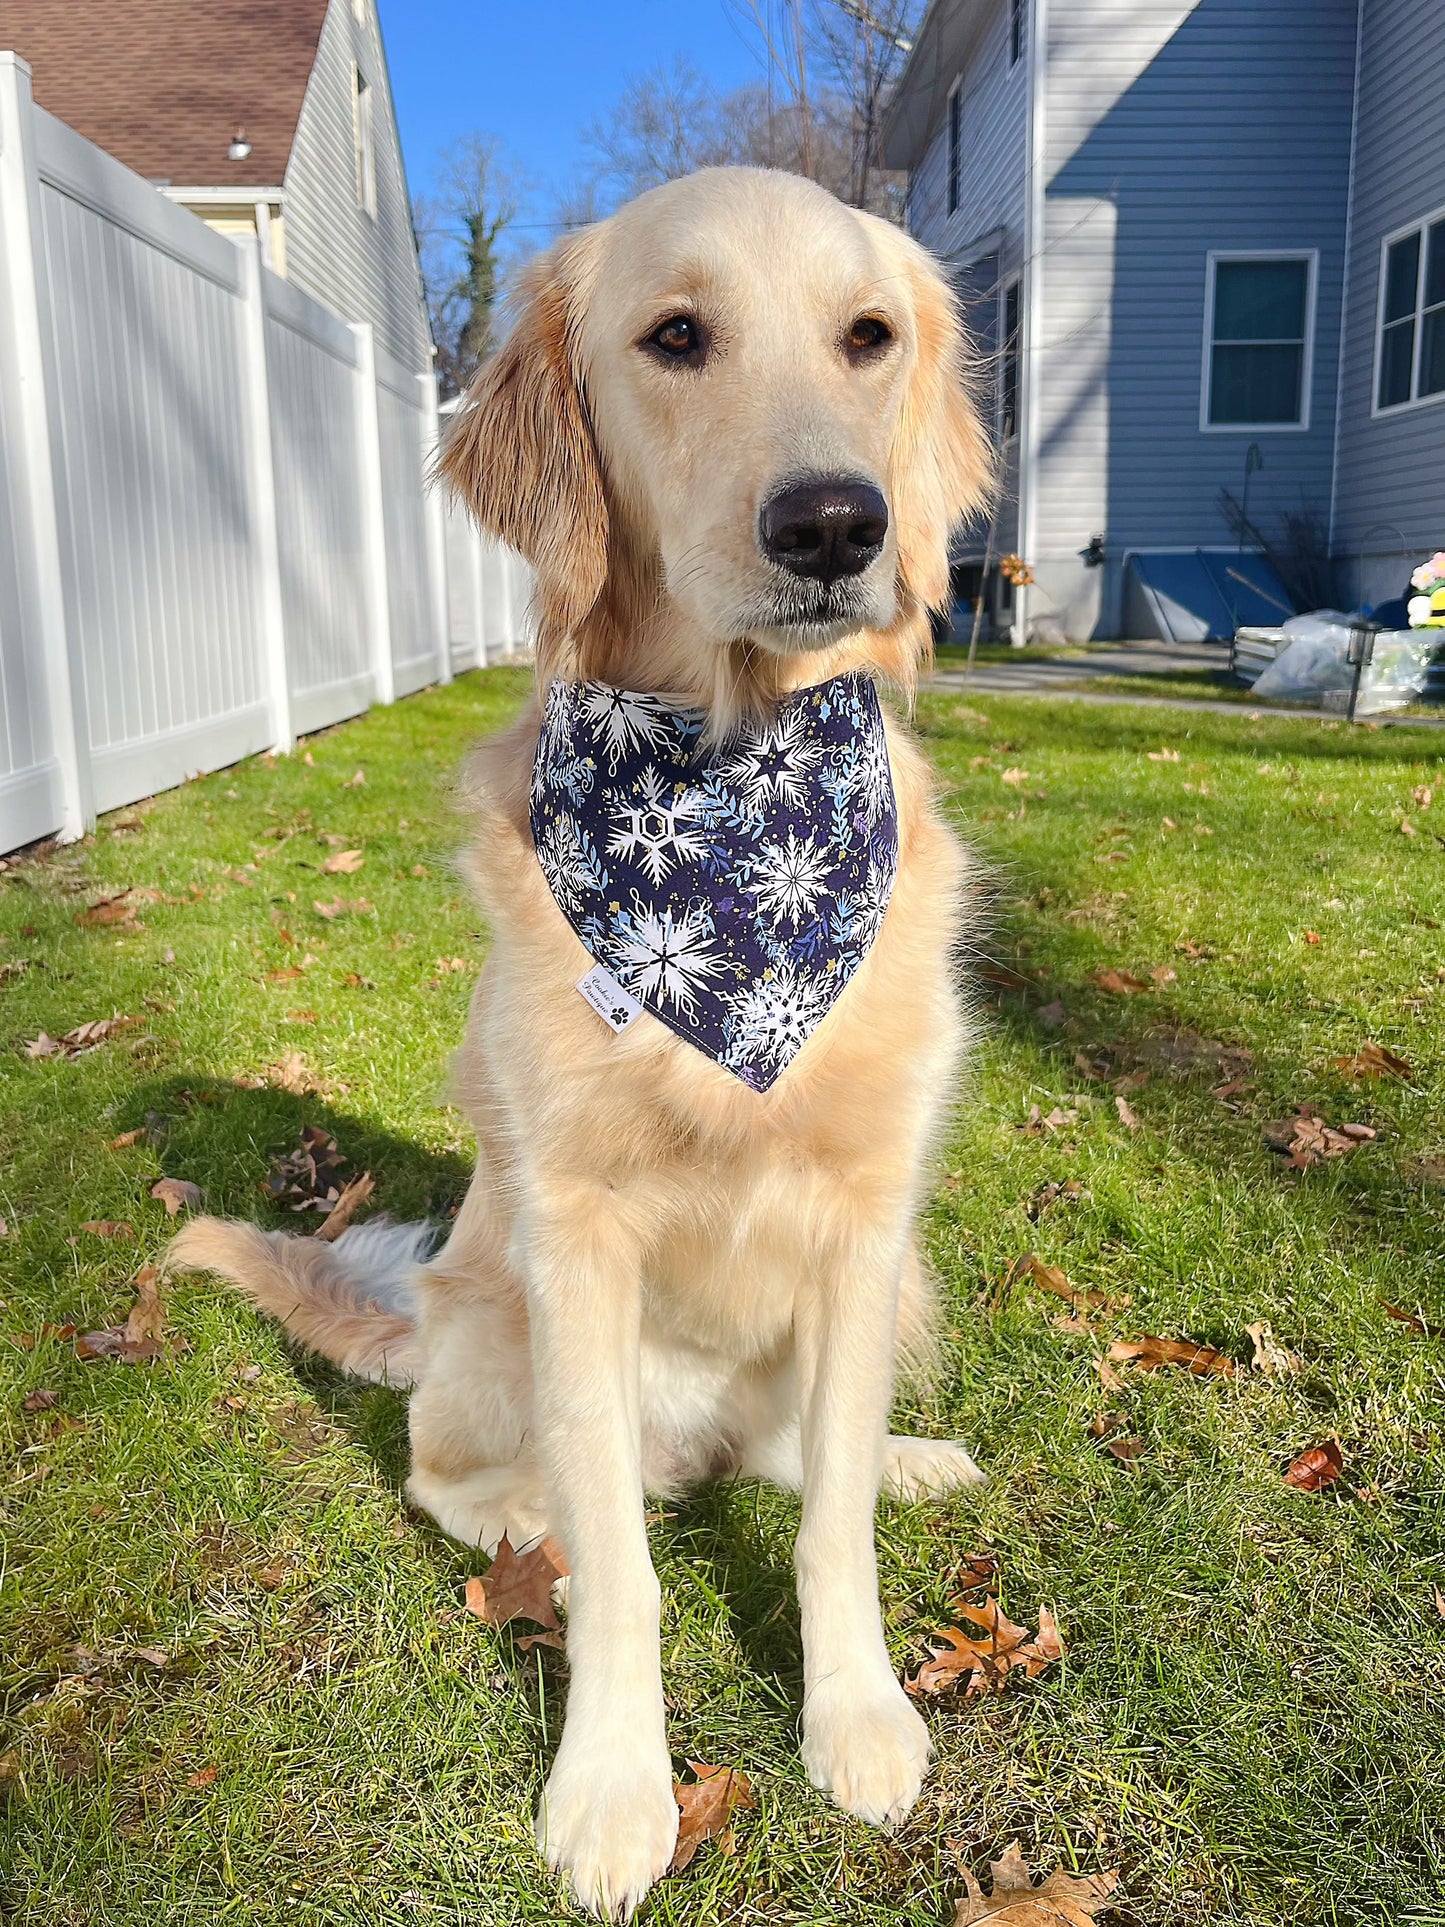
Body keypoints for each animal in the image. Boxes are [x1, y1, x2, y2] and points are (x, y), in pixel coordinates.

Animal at [172, 161, 994, 1911]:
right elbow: (624, 1572)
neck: (733, 809)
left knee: (789, 1460)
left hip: (888, 1291)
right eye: (675, 336)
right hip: (492, 1322)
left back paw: (901, 1457)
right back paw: (517, 1530)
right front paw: (614, 1788)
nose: (837, 523)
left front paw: (859, 1708)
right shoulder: (576, 1237)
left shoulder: (866, 1219)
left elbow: (826, 1523)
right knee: (470, 1475)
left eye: (869, 335)